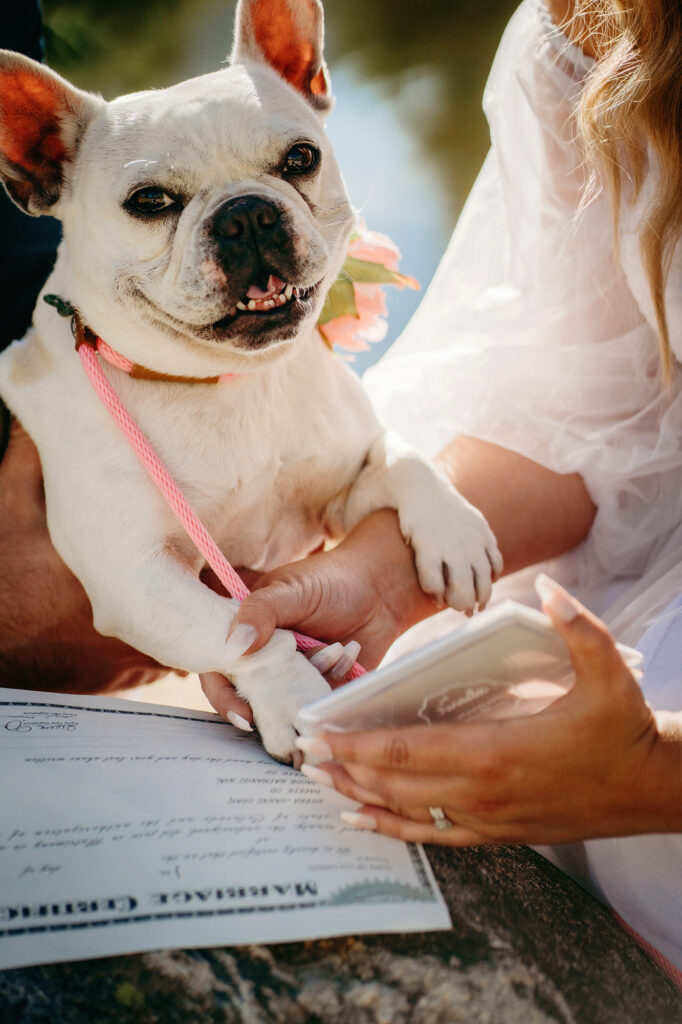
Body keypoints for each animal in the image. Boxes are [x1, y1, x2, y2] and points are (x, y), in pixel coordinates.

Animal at [0, 0, 499, 761]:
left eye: (300, 159)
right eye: (150, 200)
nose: (245, 212)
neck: (233, 382)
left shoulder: (340, 493)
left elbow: (400, 454)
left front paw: (454, 531)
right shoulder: (135, 573)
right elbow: (239, 635)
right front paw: (292, 695)